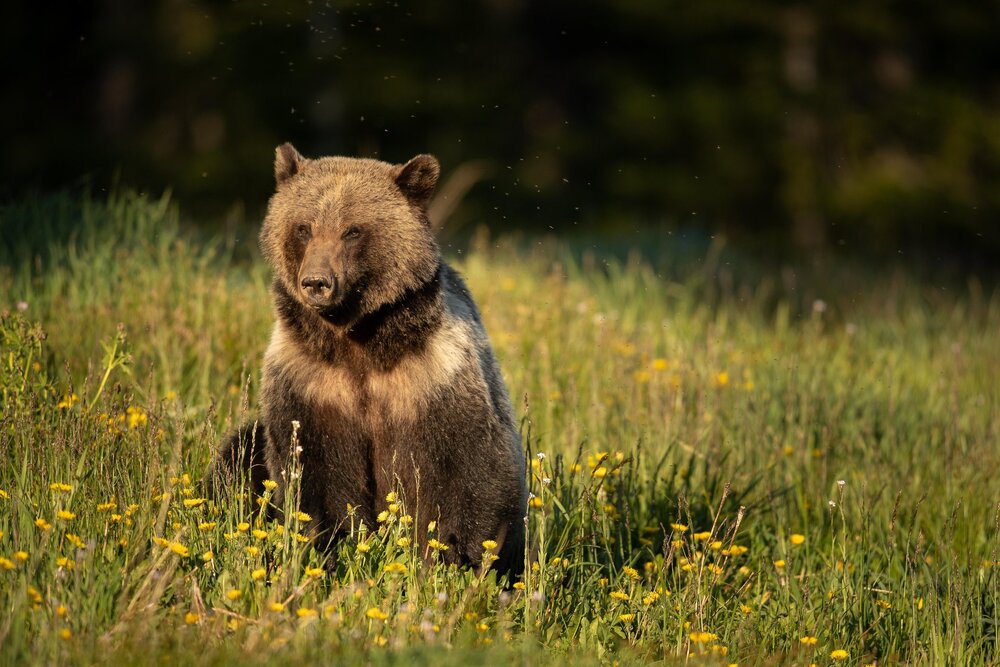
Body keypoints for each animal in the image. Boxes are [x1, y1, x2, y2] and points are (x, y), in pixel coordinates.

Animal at [207, 143, 526, 580]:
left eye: (352, 230)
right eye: (304, 227)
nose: (317, 282)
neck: (359, 342)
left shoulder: (434, 378)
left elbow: (470, 470)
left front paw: (458, 562)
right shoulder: (311, 382)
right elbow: (311, 475)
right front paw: (329, 552)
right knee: (237, 454)